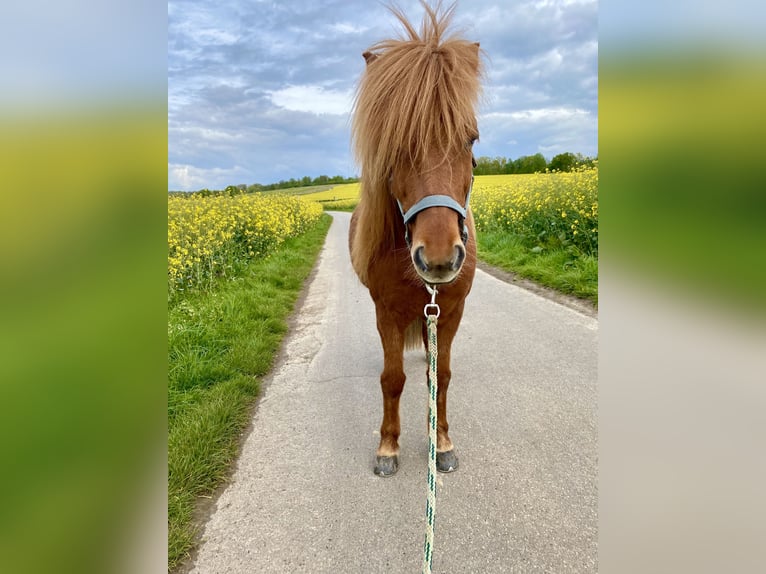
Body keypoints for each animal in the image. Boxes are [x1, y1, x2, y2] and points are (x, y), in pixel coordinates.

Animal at [348, 1, 483, 477]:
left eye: (470, 139)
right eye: (395, 145)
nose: (439, 258)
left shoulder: (451, 311)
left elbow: (439, 378)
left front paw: (441, 442)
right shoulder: (386, 311)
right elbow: (392, 379)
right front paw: (388, 446)